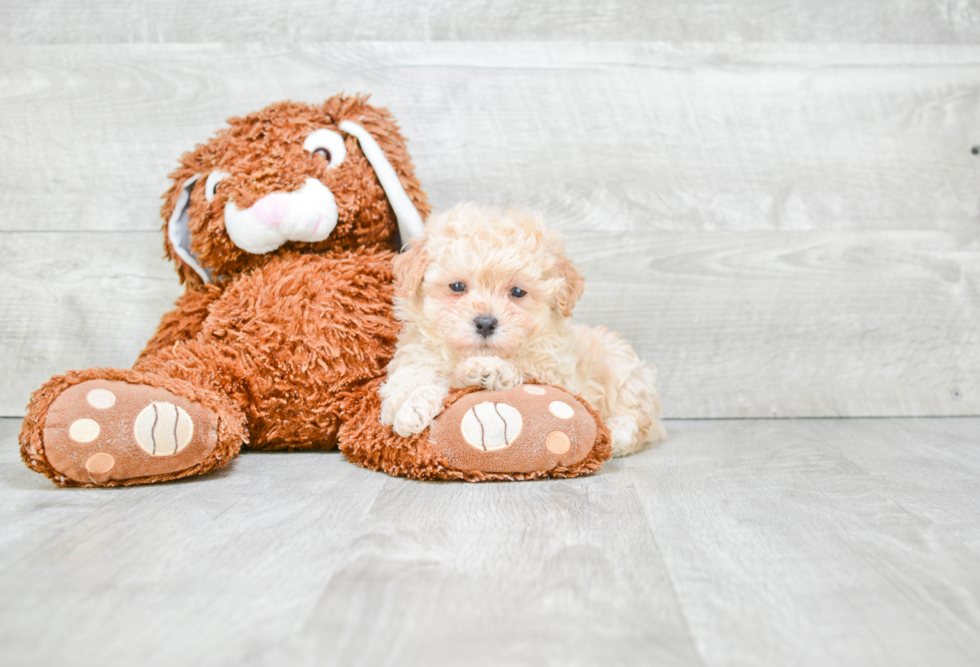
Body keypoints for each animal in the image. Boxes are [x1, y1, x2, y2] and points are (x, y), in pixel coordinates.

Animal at [378, 204, 668, 456]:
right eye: (457, 287)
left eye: (517, 292)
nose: (486, 323)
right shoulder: (416, 355)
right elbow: (408, 380)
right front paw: (411, 408)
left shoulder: (560, 375)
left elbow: (528, 370)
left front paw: (490, 369)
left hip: (621, 371)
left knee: (639, 420)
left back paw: (615, 435)